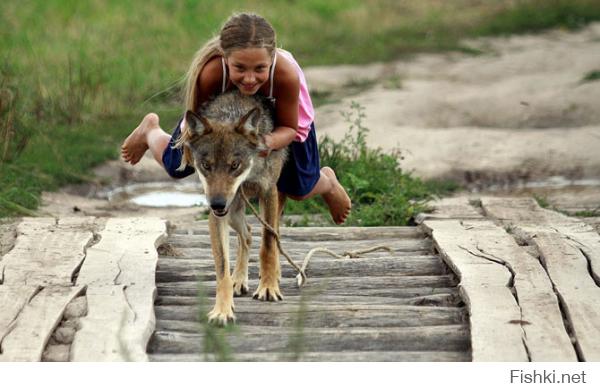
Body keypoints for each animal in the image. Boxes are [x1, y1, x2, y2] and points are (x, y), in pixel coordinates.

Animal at [180, 91, 286, 324]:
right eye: (207, 165)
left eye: (234, 165)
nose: (217, 203)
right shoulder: (218, 215)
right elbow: (222, 268)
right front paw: (222, 310)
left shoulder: (269, 191)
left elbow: (268, 244)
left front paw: (268, 287)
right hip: (234, 211)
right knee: (247, 234)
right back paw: (239, 280)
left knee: (273, 234)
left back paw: (275, 274)